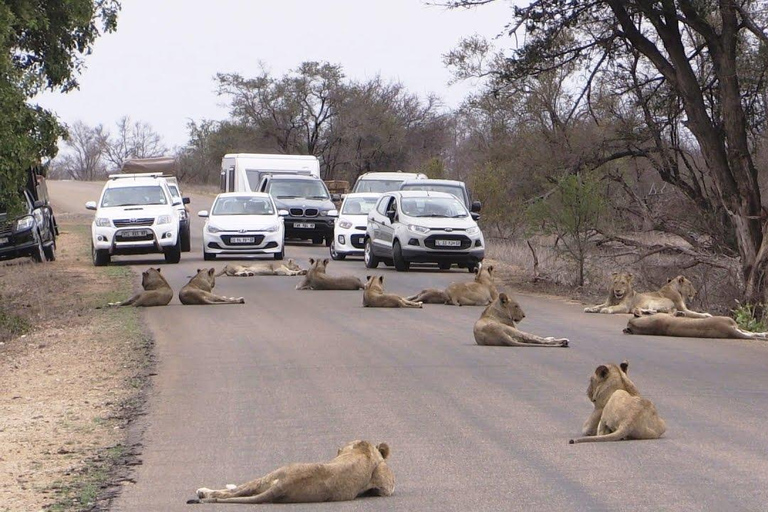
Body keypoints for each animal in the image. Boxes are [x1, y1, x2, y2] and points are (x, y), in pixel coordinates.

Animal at [188, 438, 396, 506]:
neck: (366, 451)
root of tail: (283, 485)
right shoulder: (386, 485)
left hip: (269, 476)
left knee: (235, 491)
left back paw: (203, 491)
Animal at [584, 272, 712, 316]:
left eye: (623, 283)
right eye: (615, 282)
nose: (696, 292)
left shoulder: (624, 307)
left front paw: (707, 315)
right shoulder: (607, 302)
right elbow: (598, 305)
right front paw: (590, 308)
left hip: (652, 301)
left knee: (654, 311)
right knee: (654, 311)